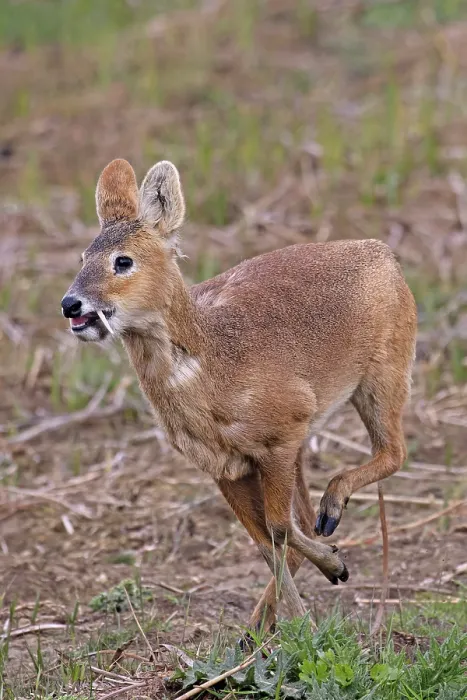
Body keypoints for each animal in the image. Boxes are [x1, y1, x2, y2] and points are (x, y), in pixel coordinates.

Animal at [61, 158, 417, 634]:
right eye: (83, 256)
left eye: (123, 260)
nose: (72, 305)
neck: (215, 368)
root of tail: (383, 252)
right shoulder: (225, 466)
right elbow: (267, 542)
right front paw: (302, 611)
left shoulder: (281, 436)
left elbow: (280, 529)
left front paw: (318, 599)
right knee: (314, 511)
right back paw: (261, 621)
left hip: (384, 374)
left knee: (391, 453)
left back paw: (331, 513)